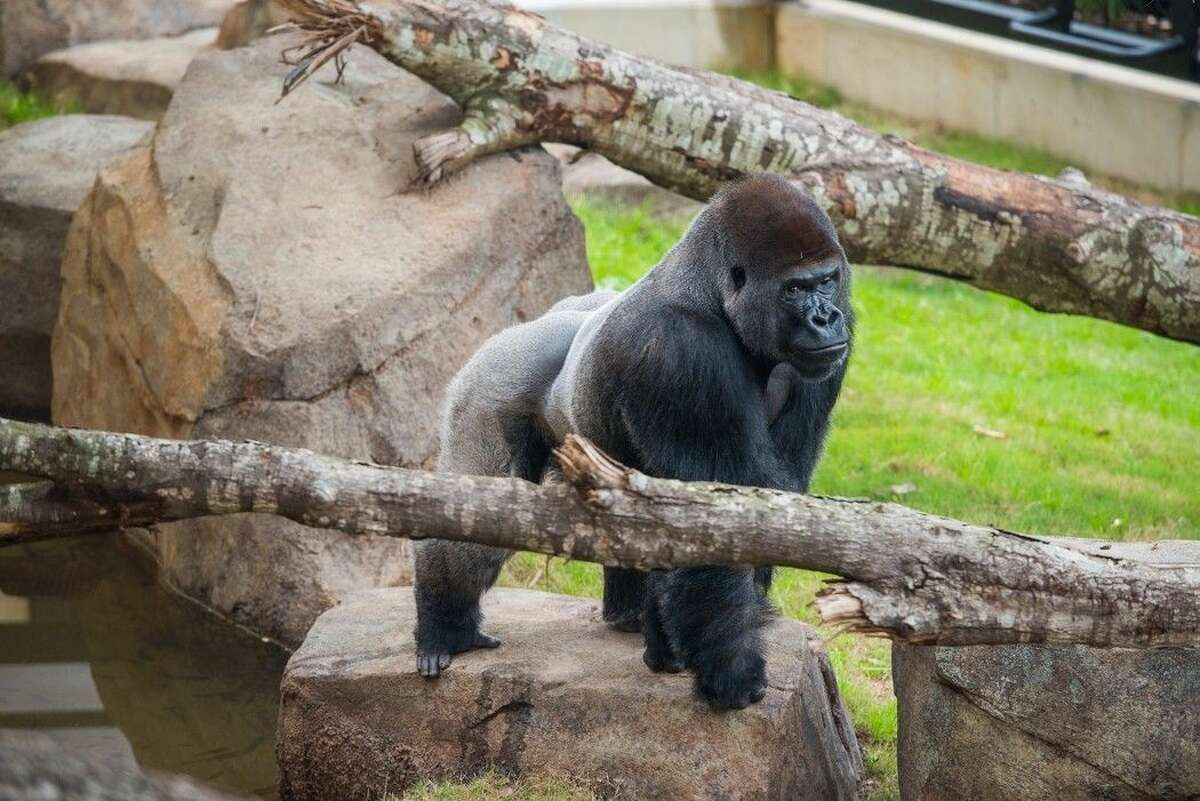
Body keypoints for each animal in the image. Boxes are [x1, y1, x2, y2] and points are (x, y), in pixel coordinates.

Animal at [413, 174, 853, 710]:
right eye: (795, 289)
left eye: (826, 280)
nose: (825, 319)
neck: (711, 292)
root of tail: (538, 320)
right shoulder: (680, 351)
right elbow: (718, 526)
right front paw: (730, 669)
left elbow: (773, 506)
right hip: (489, 381)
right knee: (477, 515)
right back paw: (445, 625)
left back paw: (629, 616)